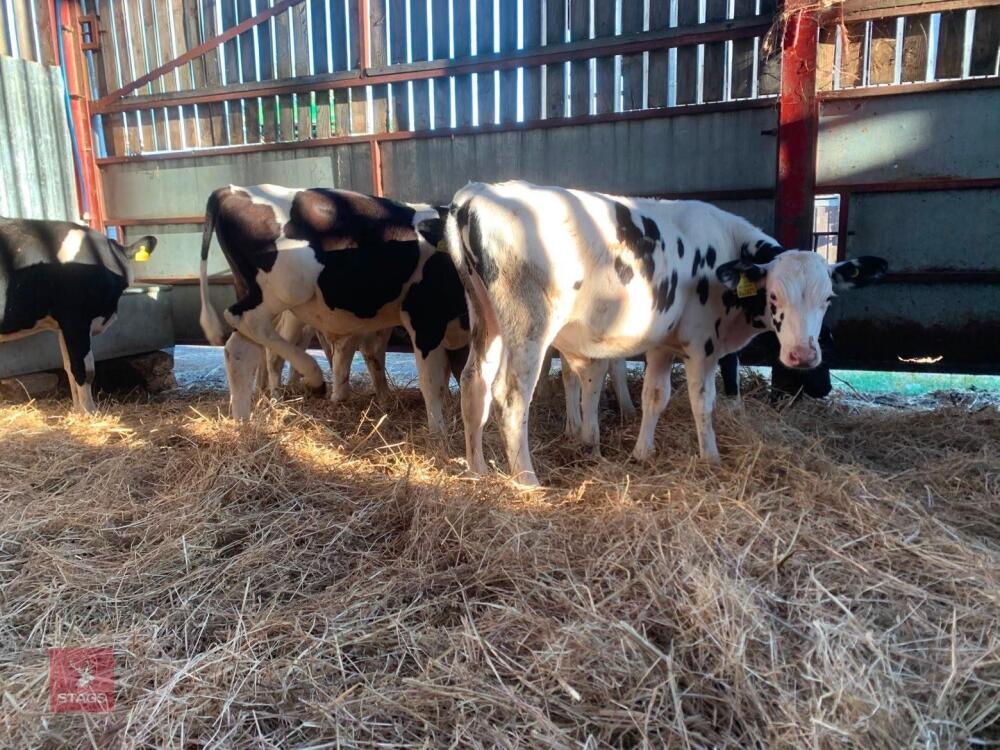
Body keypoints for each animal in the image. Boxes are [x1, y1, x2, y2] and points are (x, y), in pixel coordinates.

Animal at [0, 218, 156, 413]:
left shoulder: (62, 326)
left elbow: (68, 366)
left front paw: (77, 410)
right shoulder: (76, 320)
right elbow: (83, 368)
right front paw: (89, 411)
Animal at [197, 185, 468, 432]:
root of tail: (234, 191)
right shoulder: (424, 318)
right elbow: (432, 382)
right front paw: (438, 433)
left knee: (240, 351)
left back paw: (243, 424)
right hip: (283, 291)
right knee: (248, 322)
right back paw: (313, 378)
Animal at [424, 181, 887, 486]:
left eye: (828, 299)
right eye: (774, 295)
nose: (803, 356)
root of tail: (477, 194)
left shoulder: (664, 344)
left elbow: (655, 397)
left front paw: (642, 452)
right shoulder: (702, 345)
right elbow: (702, 402)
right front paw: (711, 457)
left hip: (486, 318)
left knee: (474, 382)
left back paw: (477, 469)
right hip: (529, 326)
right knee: (512, 395)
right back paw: (526, 479)